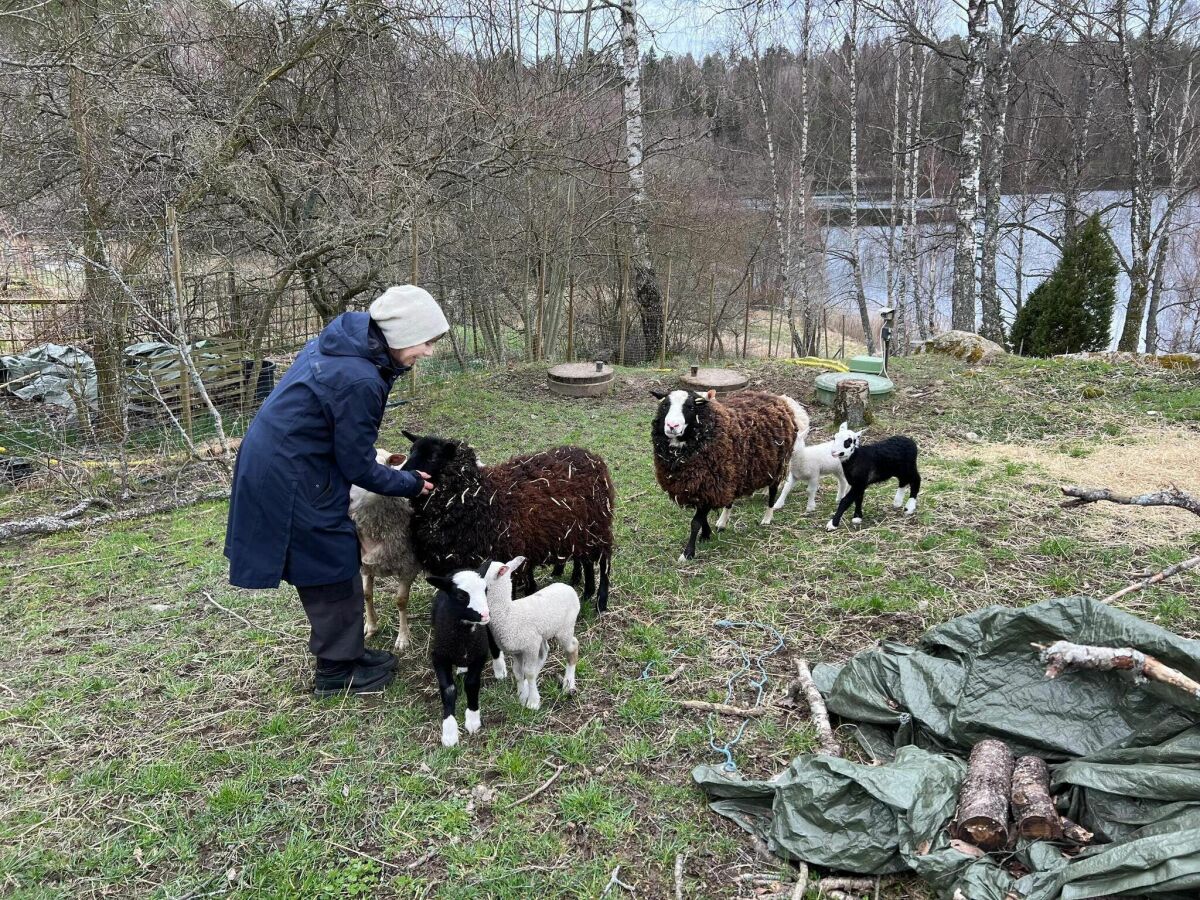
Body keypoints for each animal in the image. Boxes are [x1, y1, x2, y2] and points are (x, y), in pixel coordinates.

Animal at [484, 556, 583, 710]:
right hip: (542, 635)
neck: (507, 613)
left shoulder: (530, 644)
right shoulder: (517, 650)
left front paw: (533, 702)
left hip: (565, 628)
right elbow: (518, 672)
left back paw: (568, 684)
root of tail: (568, 588)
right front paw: (521, 697)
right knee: (545, 652)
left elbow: (529, 673)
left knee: (572, 647)